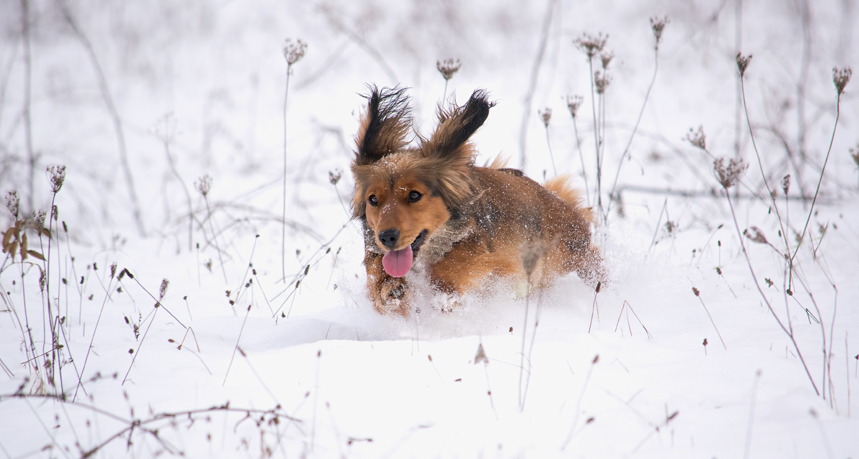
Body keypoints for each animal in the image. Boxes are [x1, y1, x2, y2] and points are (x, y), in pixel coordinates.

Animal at [350, 86, 604, 316]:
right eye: (373, 199)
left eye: (414, 195)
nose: (387, 237)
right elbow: (377, 272)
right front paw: (390, 288)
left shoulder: (504, 258)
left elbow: (461, 262)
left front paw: (444, 291)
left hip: (572, 252)